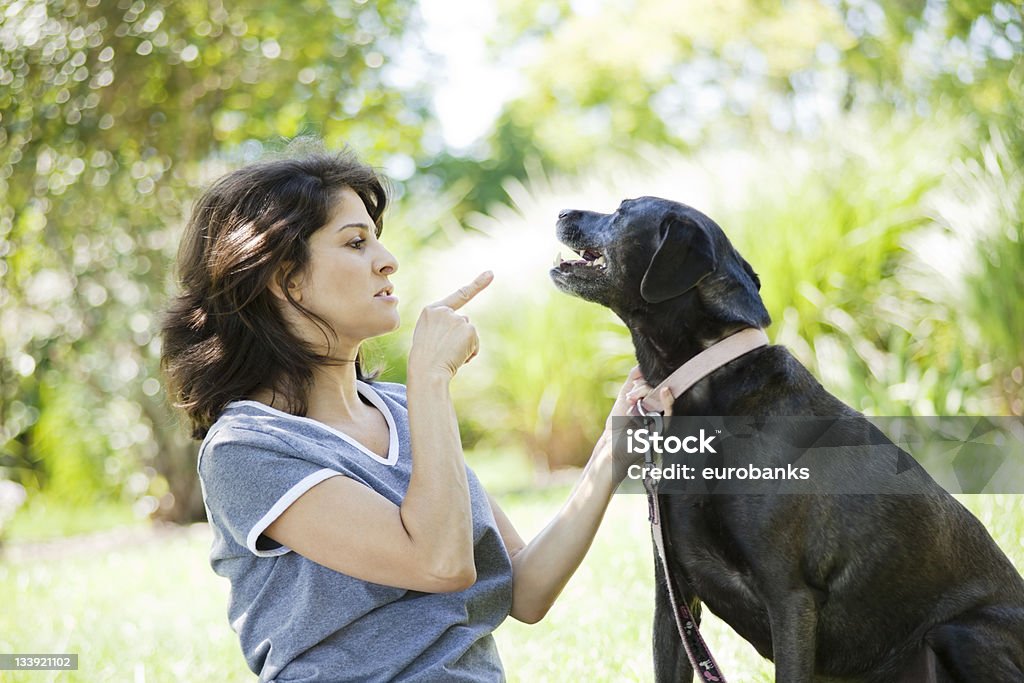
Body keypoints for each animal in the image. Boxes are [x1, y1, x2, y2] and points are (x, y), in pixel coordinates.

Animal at [552, 194, 1024, 679]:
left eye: (623, 209)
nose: (562, 212)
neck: (706, 381)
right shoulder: (673, 600)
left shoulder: (790, 599)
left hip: (960, 632)